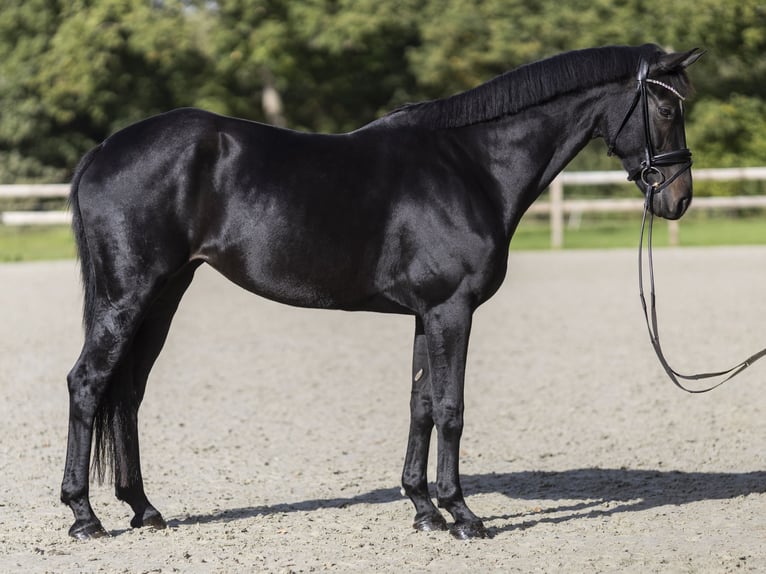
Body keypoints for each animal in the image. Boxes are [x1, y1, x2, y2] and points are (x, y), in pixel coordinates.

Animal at [61, 44, 702, 540]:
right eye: (666, 106)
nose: (678, 199)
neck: (471, 165)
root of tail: (102, 151)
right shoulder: (452, 310)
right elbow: (451, 408)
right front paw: (463, 514)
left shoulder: (426, 314)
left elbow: (420, 405)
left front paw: (423, 508)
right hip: (129, 295)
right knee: (88, 384)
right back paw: (84, 516)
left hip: (164, 295)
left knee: (128, 391)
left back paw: (143, 509)